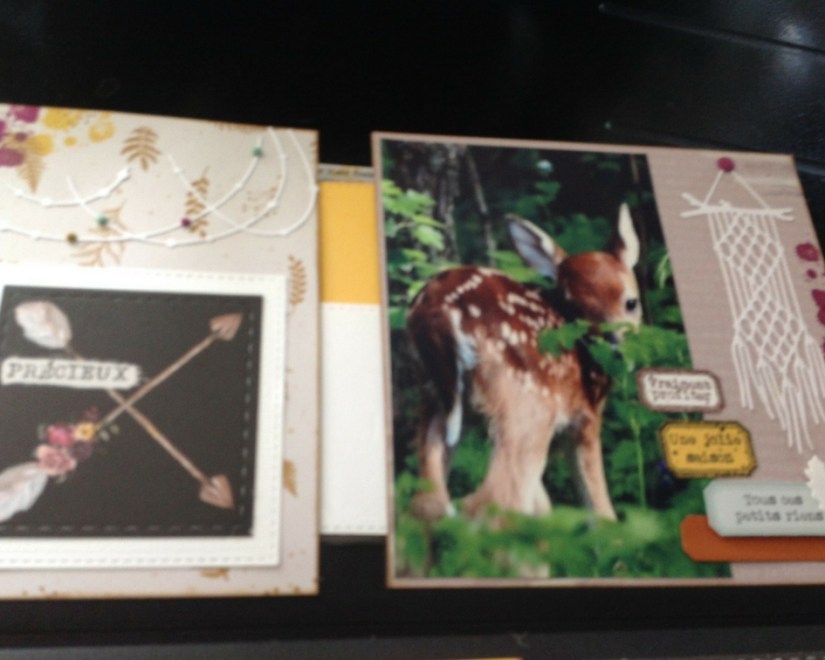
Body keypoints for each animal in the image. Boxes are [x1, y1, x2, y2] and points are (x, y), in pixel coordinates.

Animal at [406, 203, 641, 523]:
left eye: (631, 302)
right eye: (575, 310)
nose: (617, 351)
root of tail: (438, 314)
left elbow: (541, 504)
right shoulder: (586, 416)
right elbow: (599, 509)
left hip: (435, 396)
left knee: (429, 502)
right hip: (529, 403)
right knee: (494, 502)